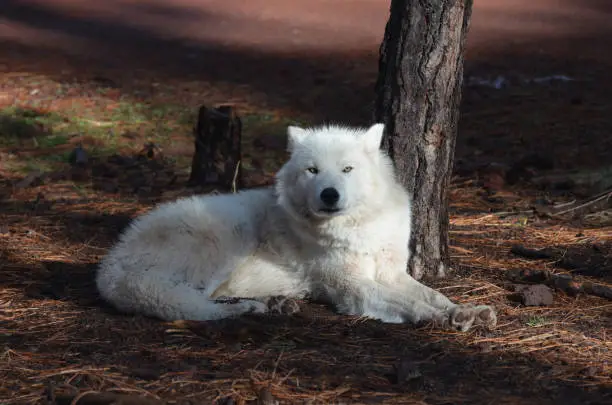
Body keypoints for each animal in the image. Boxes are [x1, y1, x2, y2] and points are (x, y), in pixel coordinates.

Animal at [95, 124, 498, 332]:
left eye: (347, 169)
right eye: (313, 170)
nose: (329, 194)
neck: (357, 227)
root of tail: (110, 266)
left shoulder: (390, 273)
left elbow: (432, 294)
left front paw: (466, 310)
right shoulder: (352, 287)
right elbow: (413, 304)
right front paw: (443, 318)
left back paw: (273, 304)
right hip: (227, 240)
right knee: (195, 306)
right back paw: (253, 308)